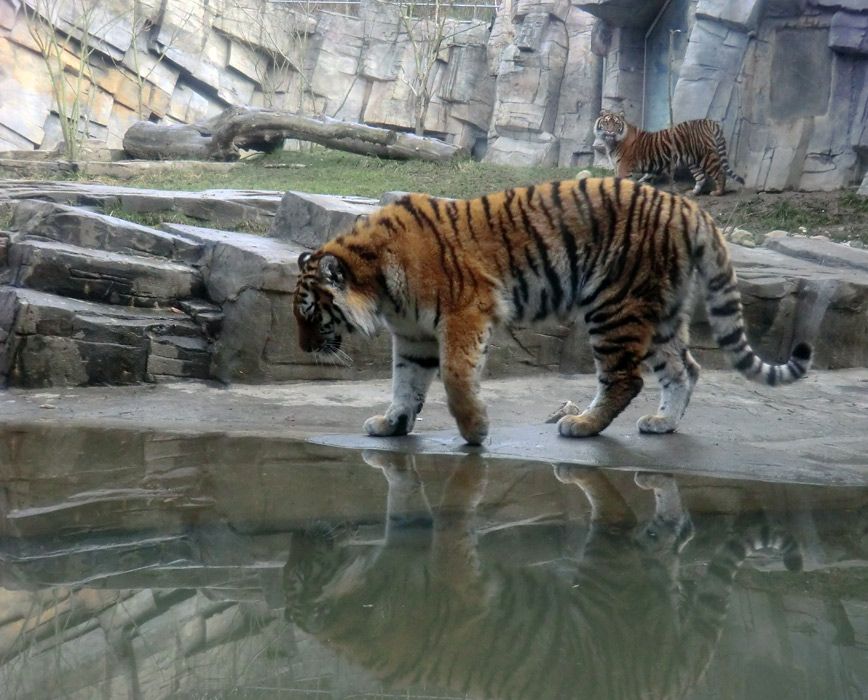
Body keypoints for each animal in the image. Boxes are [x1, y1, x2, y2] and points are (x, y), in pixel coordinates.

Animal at [284, 454, 800, 700]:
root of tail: (672, 683)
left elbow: (444, 528)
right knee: (667, 536)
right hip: (628, 584)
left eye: (294, 571)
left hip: (606, 581)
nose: (302, 533)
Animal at [294, 178, 812, 446]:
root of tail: (686, 206)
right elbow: (405, 383)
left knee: (626, 379)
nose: (302, 349)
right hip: (661, 313)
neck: (378, 283)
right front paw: (393, 424)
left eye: (310, 314)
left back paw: (582, 424)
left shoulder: (466, 313)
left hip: (614, 304)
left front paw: (475, 430)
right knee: (685, 368)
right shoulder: (414, 335)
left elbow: (456, 377)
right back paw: (663, 423)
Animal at [592, 109, 748, 197]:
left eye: (616, 123)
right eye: (606, 123)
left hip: (706, 156)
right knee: (701, 177)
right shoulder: (617, 166)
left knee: (720, 173)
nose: (610, 131)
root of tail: (707, 121)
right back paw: (693, 193)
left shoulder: (623, 167)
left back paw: (718, 192)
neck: (611, 142)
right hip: (693, 161)